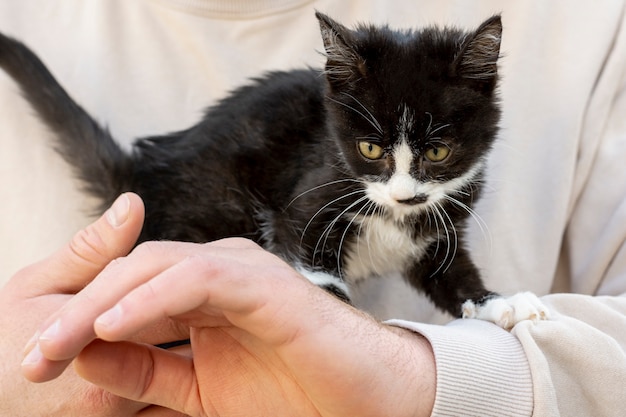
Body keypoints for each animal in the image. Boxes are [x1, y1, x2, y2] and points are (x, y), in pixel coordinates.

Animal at [0, 13, 544, 326]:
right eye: (370, 148)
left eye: (437, 154)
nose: (406, 195)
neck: (392, 213)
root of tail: (141, 171)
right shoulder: (307, 197)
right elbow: (313, 260)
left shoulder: (438, 223)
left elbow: (450, 271)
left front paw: (498, 302)